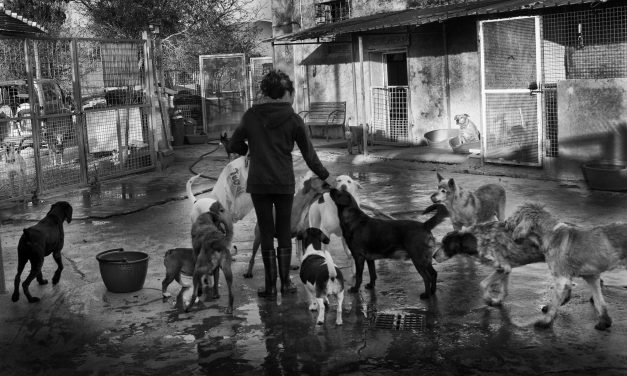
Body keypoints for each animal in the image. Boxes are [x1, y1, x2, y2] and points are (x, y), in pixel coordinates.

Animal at [432, 203, 560, 306]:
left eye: (446, 246)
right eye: (442, 243)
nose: (433, 256)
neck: (475, 238)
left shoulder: (503, 267)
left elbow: (483, 284)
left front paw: (488, 298)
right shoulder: (506, 269)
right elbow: (504, 290)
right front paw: (498, 300)